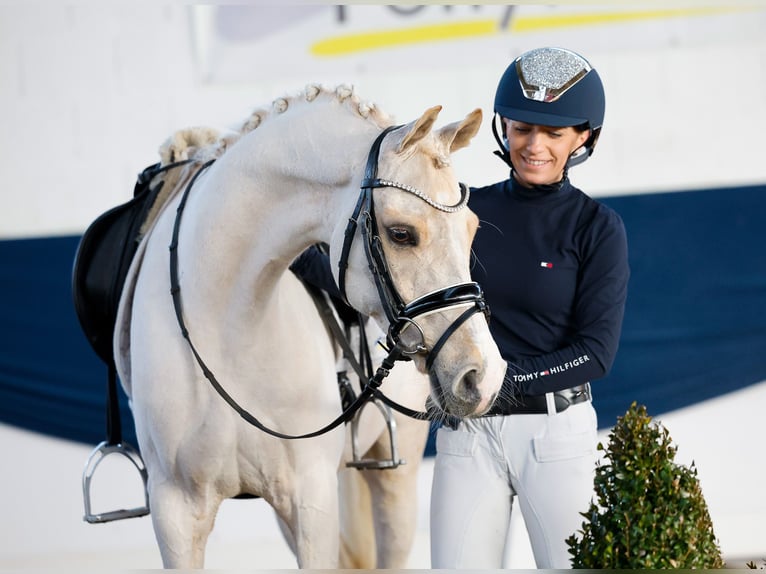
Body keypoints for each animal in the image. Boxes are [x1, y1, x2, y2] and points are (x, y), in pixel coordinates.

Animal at [112, 83, 510, 568]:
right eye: (401, 234)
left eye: (471, 228)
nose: (483, 376)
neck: (227, 326)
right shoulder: (175, 512)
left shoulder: (312, 502)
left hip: (397, 473)